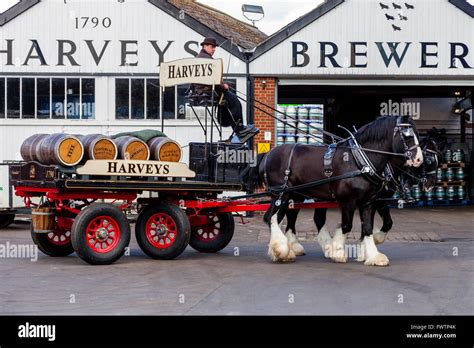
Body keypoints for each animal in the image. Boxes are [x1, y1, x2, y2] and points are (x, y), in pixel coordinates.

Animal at [256, 115, 422, 266]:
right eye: (407, 136)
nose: (419, 160)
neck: (359, 161)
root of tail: (268, 154)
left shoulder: (369, 202)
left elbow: (367, 228)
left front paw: (373, 256)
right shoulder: (349, 201)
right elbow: (347, 226)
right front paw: (337, 252)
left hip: (293, 195)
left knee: (284, 217)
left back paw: (285, 250)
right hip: (280, 194)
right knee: (270, 217)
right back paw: (282, 250)